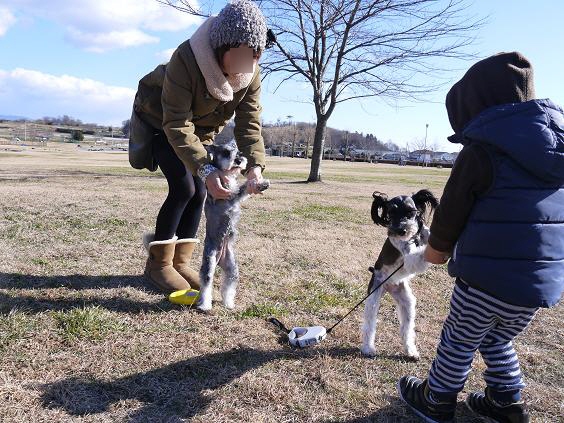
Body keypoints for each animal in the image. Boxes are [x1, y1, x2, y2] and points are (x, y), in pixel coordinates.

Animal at [197, 139, 270, 311]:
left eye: (239, 152)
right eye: (225, 153)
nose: (239, 160)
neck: (227, 175)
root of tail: (219, 258)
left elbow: (245, 187)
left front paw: (260, 183)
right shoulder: (229, 195)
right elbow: (241, 189)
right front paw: (258, 183)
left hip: (232, 267)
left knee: (228, 284)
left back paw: (228, 303)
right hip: (209, 261)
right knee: (206, 282)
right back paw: (205, 305)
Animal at [360, 189, 439, 359]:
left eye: (411, 212)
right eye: (391, 212)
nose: (401, 230)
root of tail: (389, 286)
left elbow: (428, 234)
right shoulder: (410, 256)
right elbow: (420, 255)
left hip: (406, 301)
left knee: (406, 329)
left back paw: (410, 351)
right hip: (373, 298)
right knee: (369, 325)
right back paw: (368, 348)